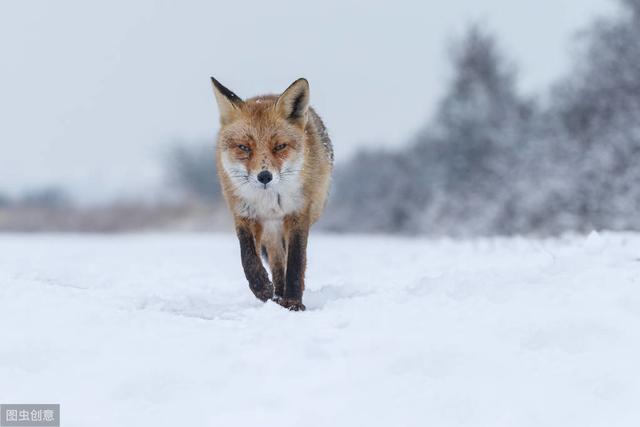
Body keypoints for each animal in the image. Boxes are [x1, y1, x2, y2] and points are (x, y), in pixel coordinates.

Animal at [211, 77, 336, 310]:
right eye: (244, 147)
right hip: (271, 230)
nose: (264, 176)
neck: (269, 202)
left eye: (279, 146)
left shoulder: (298, 213)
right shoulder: (244, 214)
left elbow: (296, 261)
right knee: (277, 261)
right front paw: (262, 287)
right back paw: (277, 295)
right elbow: (247, 256)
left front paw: (294, 302)